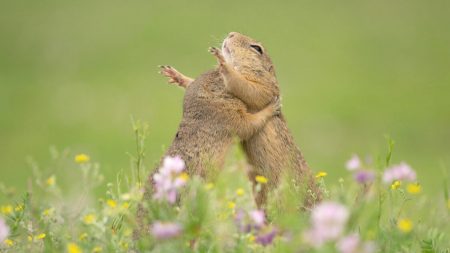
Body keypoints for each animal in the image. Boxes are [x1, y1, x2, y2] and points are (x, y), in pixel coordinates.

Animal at [161, 32, 320, 208]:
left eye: (257, 48)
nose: (231, 33)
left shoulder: (264, 86)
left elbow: (247, 88)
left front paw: (223, 62)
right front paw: (176, 76)